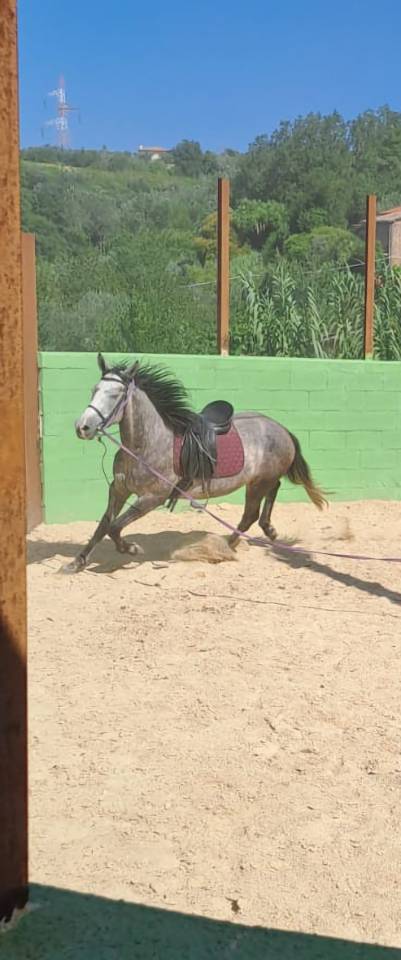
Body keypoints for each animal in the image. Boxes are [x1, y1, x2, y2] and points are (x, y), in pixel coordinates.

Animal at [64, 353, 326, 573]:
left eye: (115, 394)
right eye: (95, 390)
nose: (82, 427)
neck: (146, 444)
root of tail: (281, 428)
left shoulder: (152, 498)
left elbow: (114, 527)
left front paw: (131, 548)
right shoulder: (118, 489)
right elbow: (103, 525)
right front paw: (77, 562)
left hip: (258, 483)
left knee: (250, 515)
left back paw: (225, 547)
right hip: (261, 480)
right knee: (270, 495)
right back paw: (264, 531)